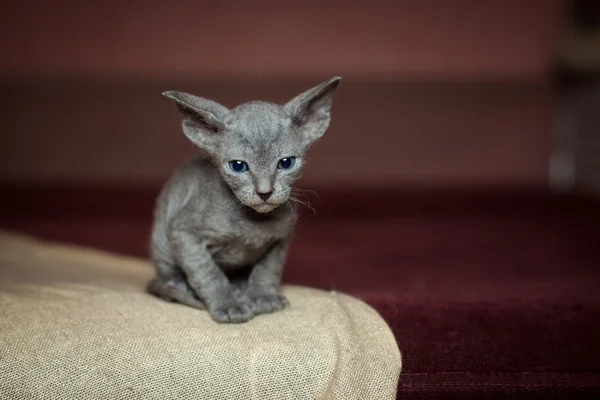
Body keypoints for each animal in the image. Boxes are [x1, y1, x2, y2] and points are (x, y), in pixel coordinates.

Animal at [147, 76, 340, 324]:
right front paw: (228, 304)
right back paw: (187, 289)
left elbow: (268, 270)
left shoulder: (282, 238)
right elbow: (208, 273)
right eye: (238, 166)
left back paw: (240, 287)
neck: (252, 222)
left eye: (286, 163)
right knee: (168, 279)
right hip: (162, 242)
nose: (264, 191)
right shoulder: (183, 232)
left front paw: (262, 297)